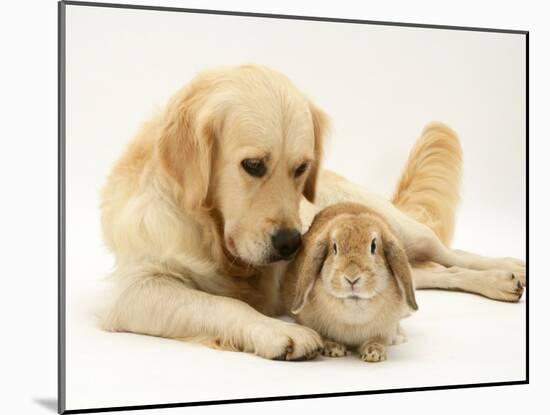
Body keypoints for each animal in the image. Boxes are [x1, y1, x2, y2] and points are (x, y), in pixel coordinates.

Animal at [101, 64, 528, 360]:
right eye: (253, 165)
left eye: (301, 167)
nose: (291, 244)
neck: (214, 236)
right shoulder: (134, 290)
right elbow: (223, 302)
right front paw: (276, 331)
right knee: (435, 272)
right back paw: (500, 281)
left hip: (399, 229)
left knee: (449, 252)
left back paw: (507, 269)